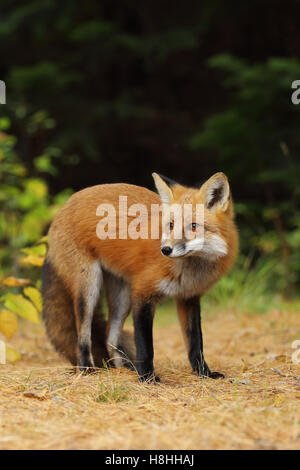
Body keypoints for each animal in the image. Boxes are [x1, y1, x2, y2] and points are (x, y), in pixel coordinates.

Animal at [42, 173, 238, 382]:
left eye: (194, 226)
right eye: (170, 225)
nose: (165, 250)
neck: (190, 271)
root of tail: (64, 205)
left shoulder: (189, 298)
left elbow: (196, 343)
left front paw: (204, 373)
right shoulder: (143, 294)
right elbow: (145, 346)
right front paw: (147, 378)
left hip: (122, 297)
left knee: (109, 337)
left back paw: (125, 369)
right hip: (89, 289)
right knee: (83, 336)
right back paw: (87, 369)